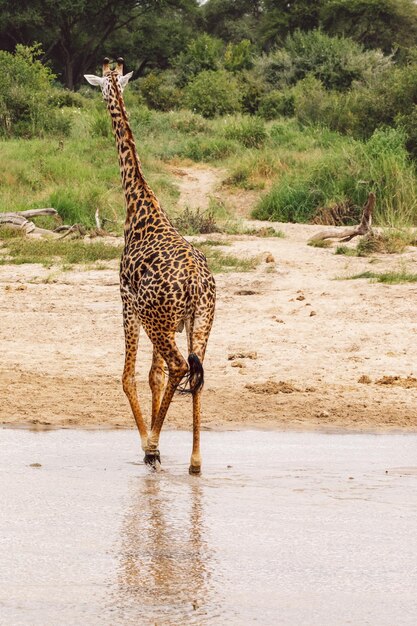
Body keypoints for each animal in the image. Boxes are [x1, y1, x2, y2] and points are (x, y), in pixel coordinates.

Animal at [84, 58, 214, 470]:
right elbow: (153, 376)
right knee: (197, 372)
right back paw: (195, 460)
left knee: (181, 367)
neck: (138, 202)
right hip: (199, 322)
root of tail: (195, 284)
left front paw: (148, 445)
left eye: (102, 86)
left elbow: (128, 376)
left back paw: (154, 443)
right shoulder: (163, 319)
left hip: (159, 322)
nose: (103, 95)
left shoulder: (127, 301)